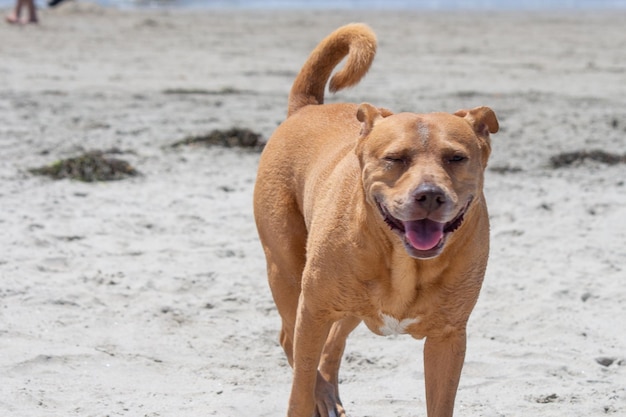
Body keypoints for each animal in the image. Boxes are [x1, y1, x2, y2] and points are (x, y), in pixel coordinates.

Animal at [254, 23, 498, 416]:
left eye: (456, 158)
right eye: (395, 158)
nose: (430, 195)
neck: (405, 262)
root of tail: (305, 109)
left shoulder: (447, 338)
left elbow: (440, 403)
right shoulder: (314, 310)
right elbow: (300, 384)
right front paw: (309, 396)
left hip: (349, 306)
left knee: (332, 343)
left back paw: (327, 394)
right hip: (287, 274)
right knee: (289, 337)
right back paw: (320, 394)